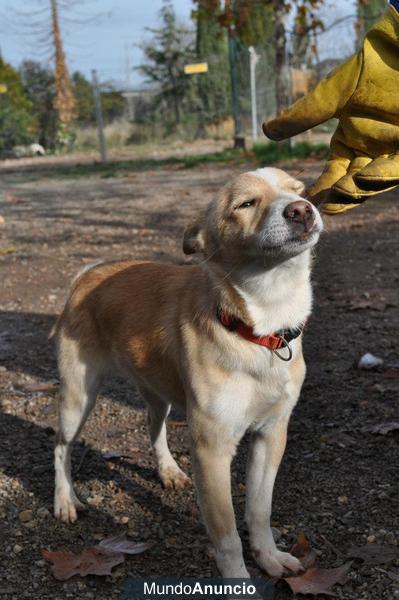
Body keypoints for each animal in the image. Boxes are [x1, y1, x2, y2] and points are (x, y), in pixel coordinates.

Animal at [53, 166, 324, 580]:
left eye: (299, 190)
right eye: (246, 204)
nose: (301, 210)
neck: (258, 328)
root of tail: (87, 274)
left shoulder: (271, 434)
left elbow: (259, 512)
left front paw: (269, 556)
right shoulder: (211, 451)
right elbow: (227, 537)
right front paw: (239, 581)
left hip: (157, 393)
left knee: (153, 428)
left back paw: (167, 471)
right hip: (78, 399)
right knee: (60, 446)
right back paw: (65, 501)